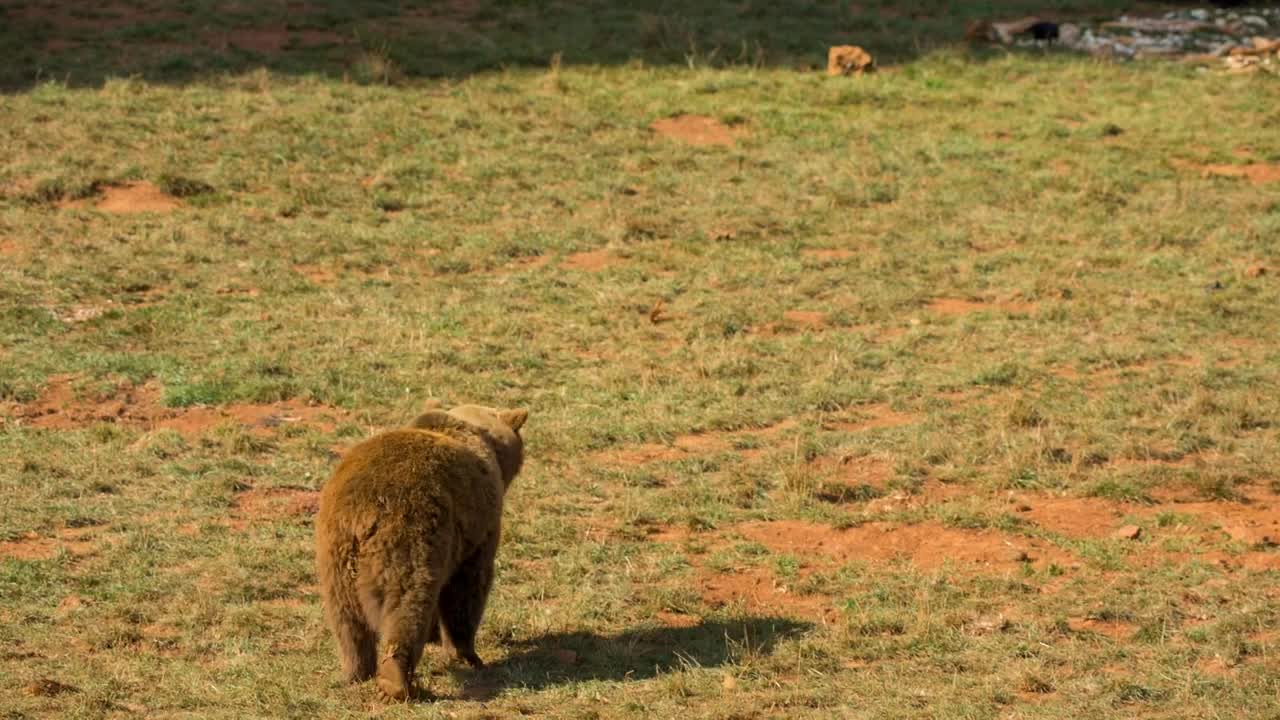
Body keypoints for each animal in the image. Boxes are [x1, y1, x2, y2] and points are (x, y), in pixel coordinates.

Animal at [314, 401, 528, 701]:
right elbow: (467, 590)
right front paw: (467, 654)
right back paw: (395, 681)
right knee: (408, 604)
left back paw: (356, 672)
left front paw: (438, 637)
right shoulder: (477, 527)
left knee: (346, 619)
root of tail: (361, 516)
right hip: (409, 539)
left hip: (335, 555)